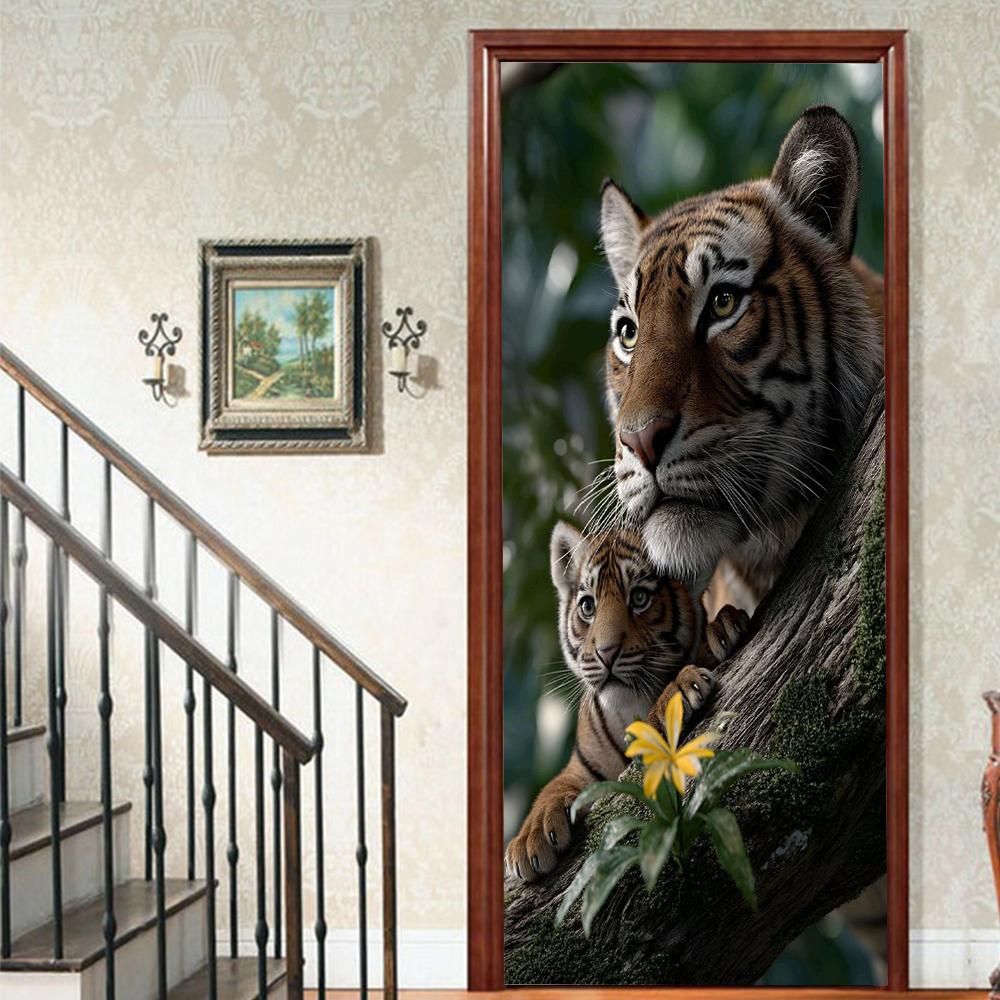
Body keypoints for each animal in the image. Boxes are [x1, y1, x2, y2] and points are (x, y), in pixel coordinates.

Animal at [504, 520, 748, 882]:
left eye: (640, 597)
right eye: (587, 606)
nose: (606, 653)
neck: (630, 706)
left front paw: (678, 690)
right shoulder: (582, 766)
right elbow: (552, 787)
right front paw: (529, 839)